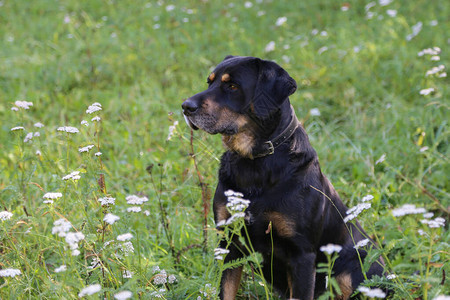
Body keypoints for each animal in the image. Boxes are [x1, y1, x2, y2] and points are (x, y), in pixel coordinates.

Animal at [182, 56, 384, 300]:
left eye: (232, 86)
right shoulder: (230, 244)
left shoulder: (302, 255)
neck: (254, 161)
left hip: (352, 270)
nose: (186, 106)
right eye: (209, 82)